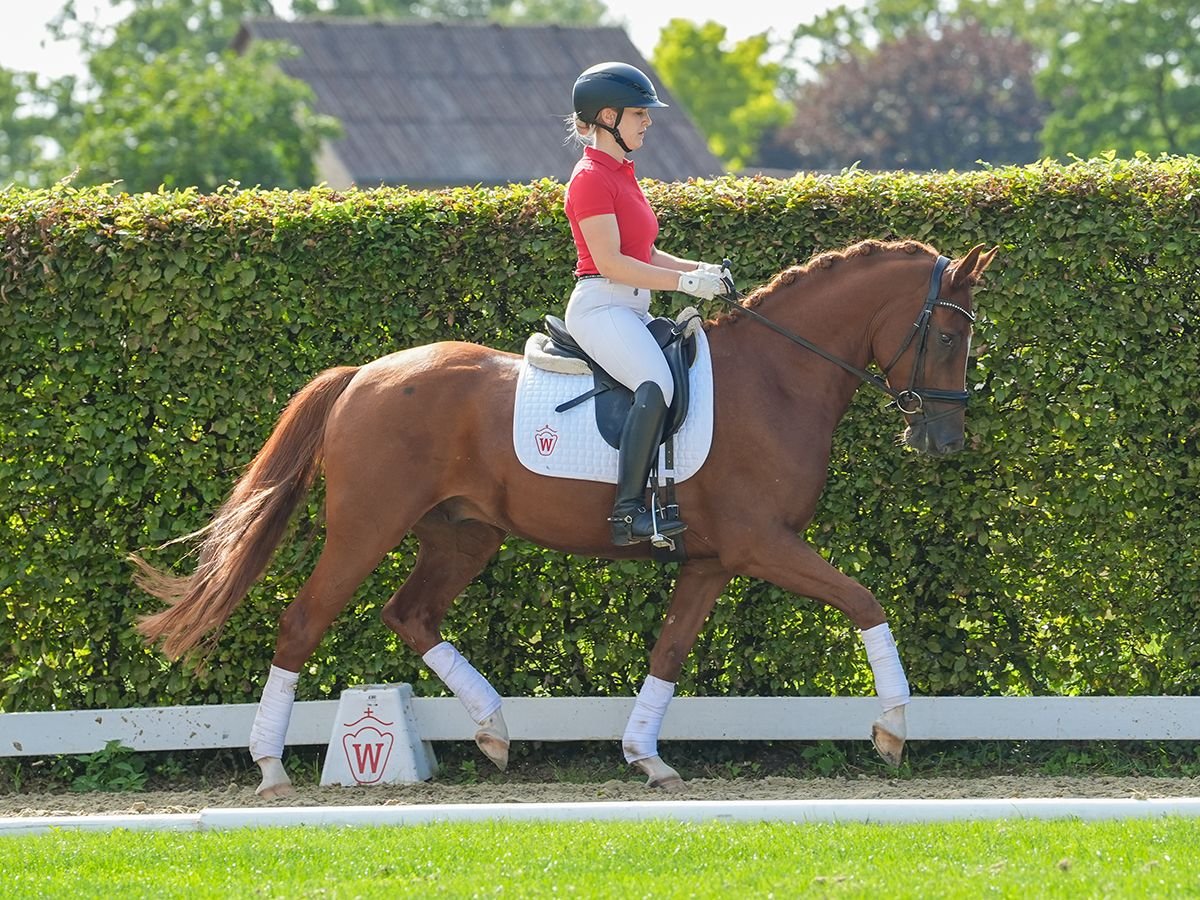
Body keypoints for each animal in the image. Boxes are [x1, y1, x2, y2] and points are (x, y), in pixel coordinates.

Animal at [131, 237, 998, 796]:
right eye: (947, 336)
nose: (943, 439)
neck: (778, 376)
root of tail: (361, 376)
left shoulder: (712, 559)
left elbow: (670, 650)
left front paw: (646, 755)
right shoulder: (763, 544)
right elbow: (865, 601)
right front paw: (893, 727)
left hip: (464, 534)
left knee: (410, 614)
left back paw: (492, 730)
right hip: (366, 528)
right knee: (305, 621)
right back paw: (272, 766)